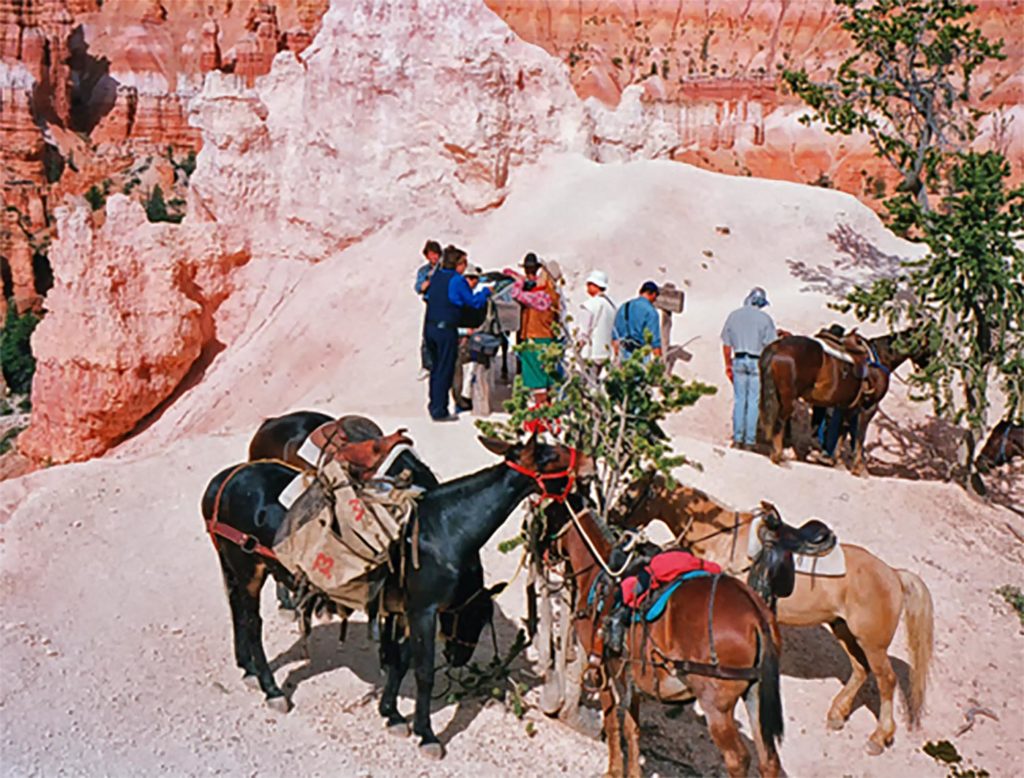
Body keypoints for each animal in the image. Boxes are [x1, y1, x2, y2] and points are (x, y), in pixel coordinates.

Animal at [200, 434, 593, 757]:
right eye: (550, 456)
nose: (587, 463)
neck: (443, 527)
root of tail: (225, 479)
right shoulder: (423, 610)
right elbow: (422, 671)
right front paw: (427, 735)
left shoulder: (405, 609)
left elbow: (400, 661)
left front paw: (391, 715)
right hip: (249, 569)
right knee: (252, 623)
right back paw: (272, 690)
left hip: (234, 568)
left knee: (237, 613)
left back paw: (248, 670)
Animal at [548, 501, 778, 773]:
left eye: (548, 515)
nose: (546, 552)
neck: (601, 569)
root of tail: (756, 615)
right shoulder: (631, 677)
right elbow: (632, 729)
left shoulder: (601, 669)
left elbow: (612, 720)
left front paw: (614, 770)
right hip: (755, 696)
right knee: (769, 761)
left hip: (716, 705)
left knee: (737, 758)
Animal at [614, 474, 937, 753]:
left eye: (630, 493)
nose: (617, 526)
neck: (723, 538)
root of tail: (894, 574)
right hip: (843, 629)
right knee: (860, 670)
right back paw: (837, 714)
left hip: (872, 642)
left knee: (886, 680)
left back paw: (879, 737)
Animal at [757, 327, 933, 474]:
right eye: (929, 345)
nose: (928, 366)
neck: (881, 360)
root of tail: (777, 347)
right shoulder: (869, 408)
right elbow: (860, 437)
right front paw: (858, 468)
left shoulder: (848, 406)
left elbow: (842, 431)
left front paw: (836, 460)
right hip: (788, 398)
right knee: (780, 422)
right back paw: (778, 456)